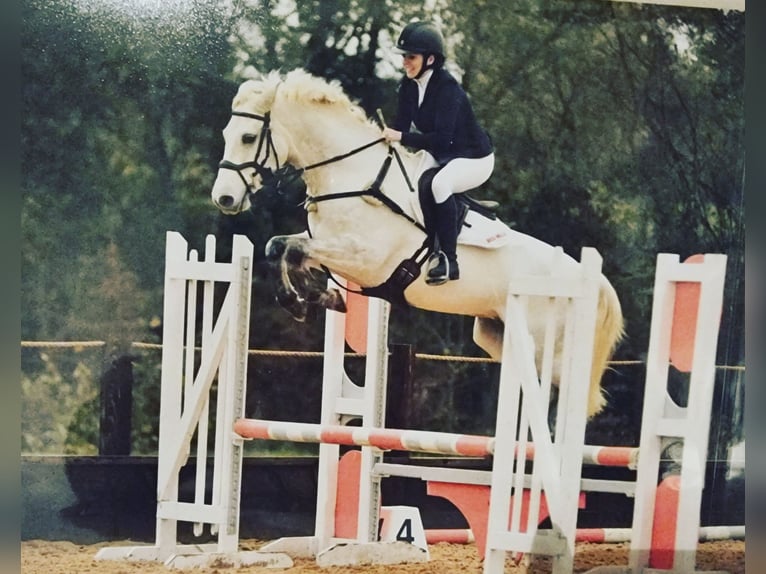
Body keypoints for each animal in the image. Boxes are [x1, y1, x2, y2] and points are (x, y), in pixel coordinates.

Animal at [210, 70, 624, 418]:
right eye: (227, 135)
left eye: (248, 138)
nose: (224, 198)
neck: (353, 177)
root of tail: (591, 281)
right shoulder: (330, 244)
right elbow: (279, 248)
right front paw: (316, 297)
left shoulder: (362, 257)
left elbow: (292, 250)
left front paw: (302, 301)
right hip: (498, 336)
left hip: (548, 350)